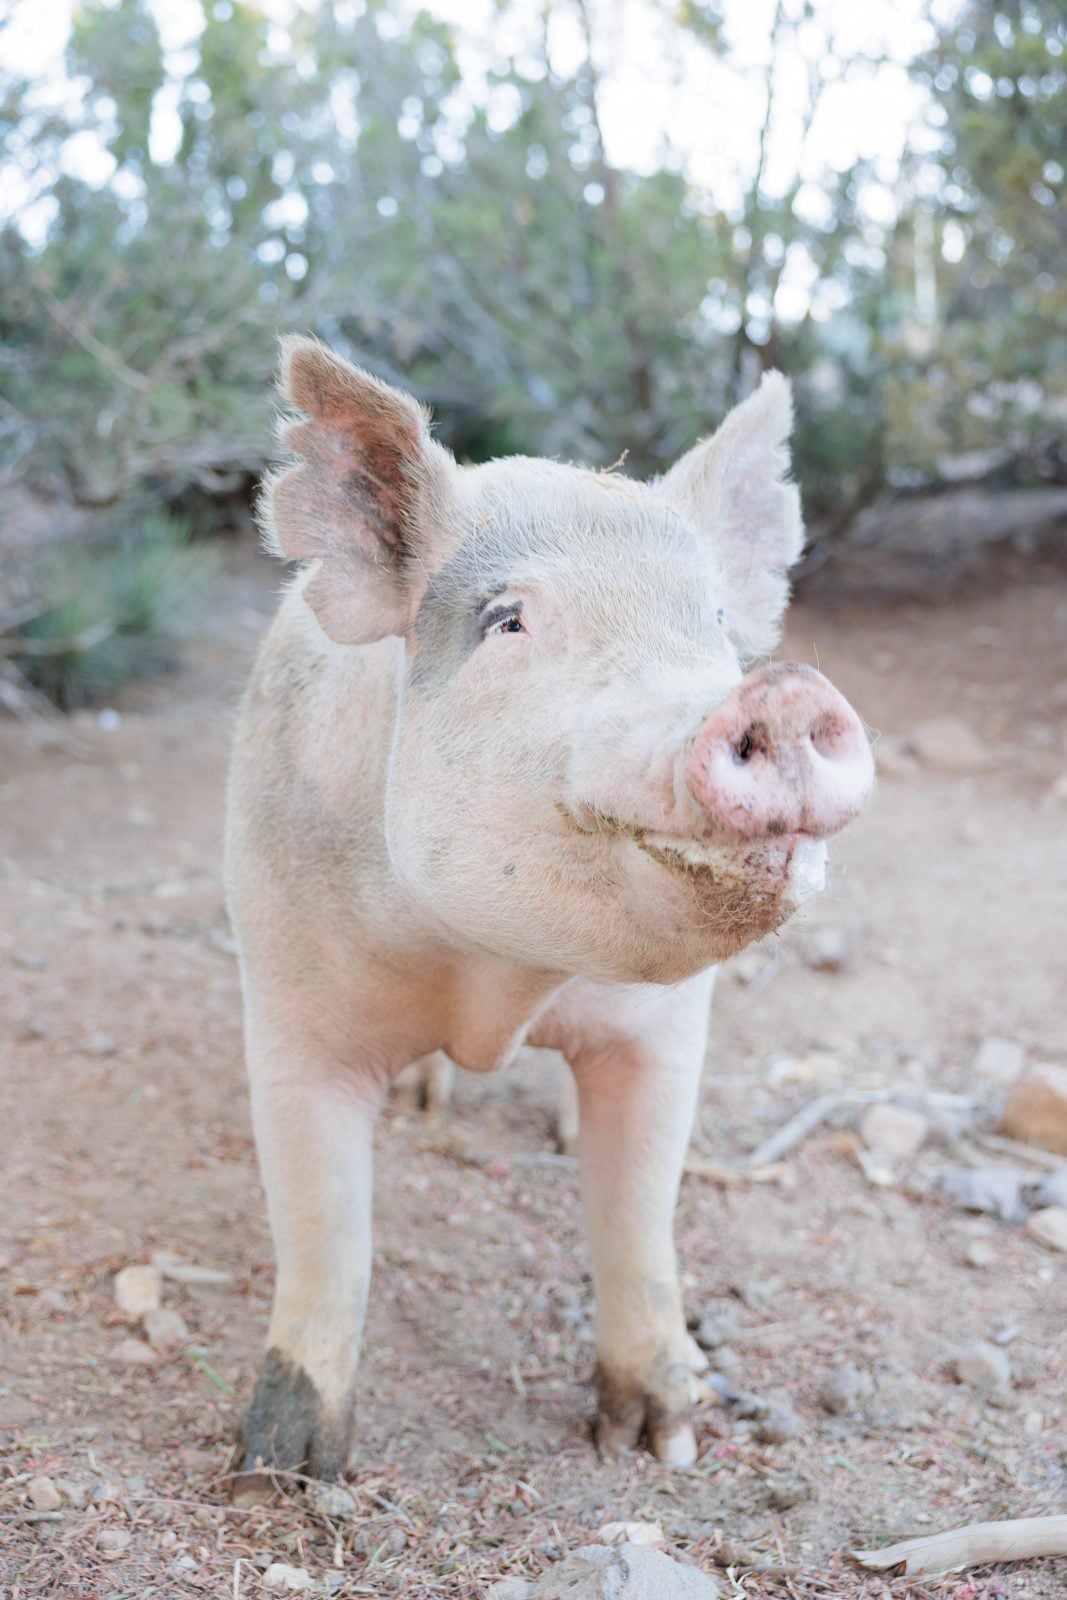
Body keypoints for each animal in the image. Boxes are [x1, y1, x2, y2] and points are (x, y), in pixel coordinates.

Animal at [225, 337, 873, 1500]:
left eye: (713, 625)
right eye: (509, 621)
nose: (788, 693)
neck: (492, 984)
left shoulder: (665, 1031)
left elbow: (637, 1215)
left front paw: (660, 1444)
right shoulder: (289, 1003)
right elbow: (323, 1232)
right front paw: (277, 1479)